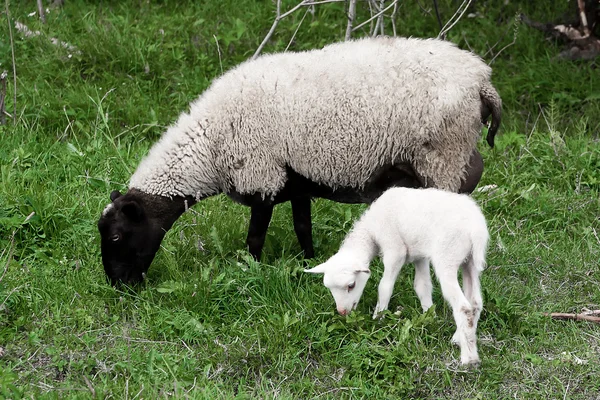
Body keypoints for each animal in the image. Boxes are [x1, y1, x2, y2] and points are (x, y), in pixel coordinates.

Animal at [98, 35, 502, 284]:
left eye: (116, 235)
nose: (119, 286)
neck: (209, 148)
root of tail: (482, 79)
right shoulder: (298, 181)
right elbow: (302, 226)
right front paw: (310, 263)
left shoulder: (261, 177)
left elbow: (255, 237)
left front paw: (251, 271)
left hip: (444, 156)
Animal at [304, 188, 488, 366]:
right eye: (329, 288)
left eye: (351, 285)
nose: (342, 312)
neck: (371, 230)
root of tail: (476, 229)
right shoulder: (419, 255)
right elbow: (422, 286)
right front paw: (429, 316)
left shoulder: (395, 249)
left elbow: (385, 287)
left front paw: (378, 318)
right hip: (469, 261)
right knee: (475, 302)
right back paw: (460, 338)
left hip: (447, 256)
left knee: (463, 307)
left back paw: (469, 358)